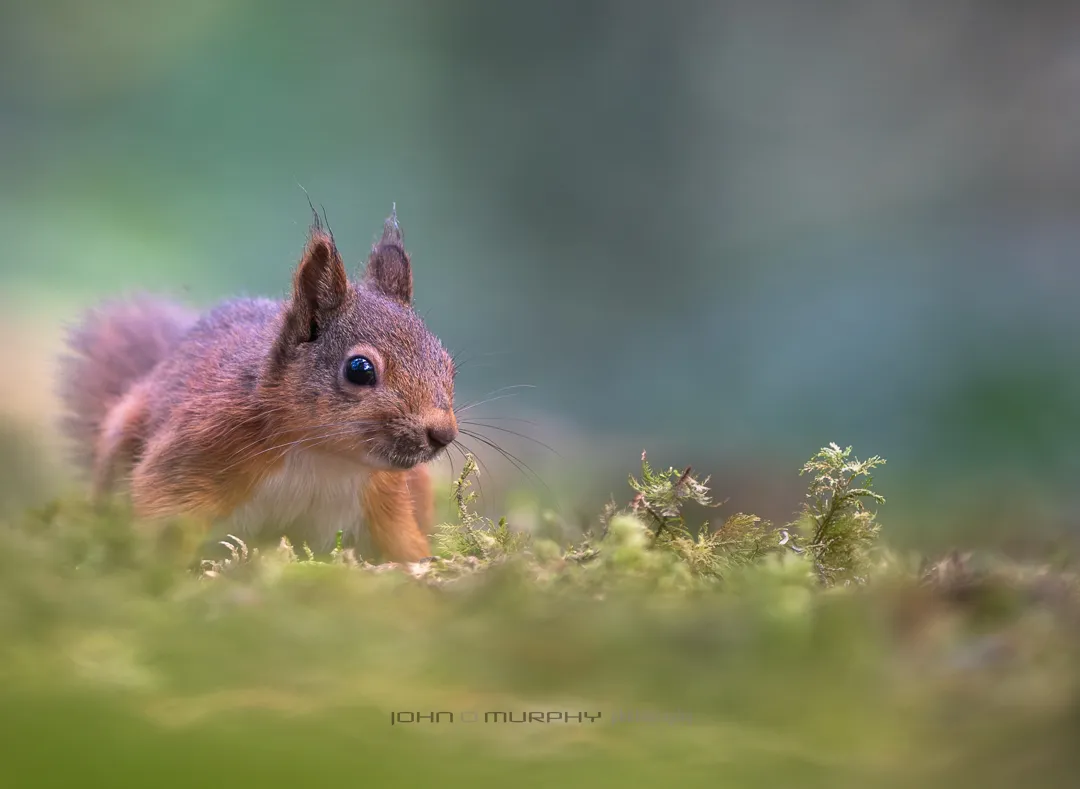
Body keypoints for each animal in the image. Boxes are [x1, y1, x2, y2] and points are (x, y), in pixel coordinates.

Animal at [57, 207, 457, 563]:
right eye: (360, 369)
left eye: (447, 363)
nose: (443, 434)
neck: (324, 455)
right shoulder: (200, 444)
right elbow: (162, 508)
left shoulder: (385, 499)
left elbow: (403, 542)